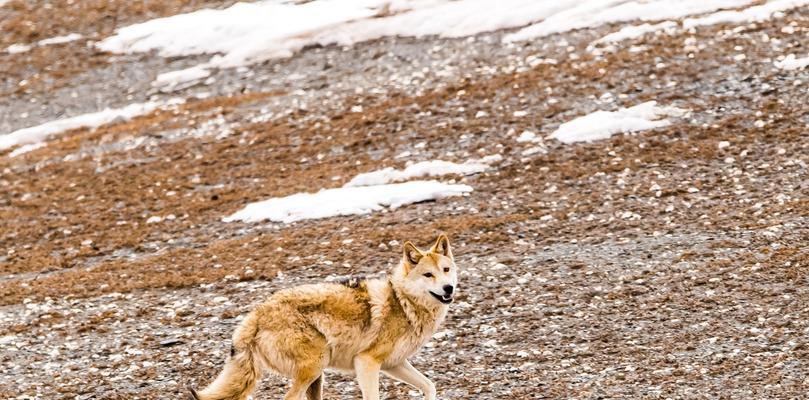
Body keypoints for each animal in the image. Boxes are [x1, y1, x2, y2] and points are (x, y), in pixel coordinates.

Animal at [186, 234, 458, 400]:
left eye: (445, 270)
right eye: (428, 275)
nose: (448, 288)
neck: (404, 303)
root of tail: (255, 316)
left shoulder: (394, 364)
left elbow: (429, 385)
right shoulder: (366, 362)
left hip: (317, 374)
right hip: (316, 364)